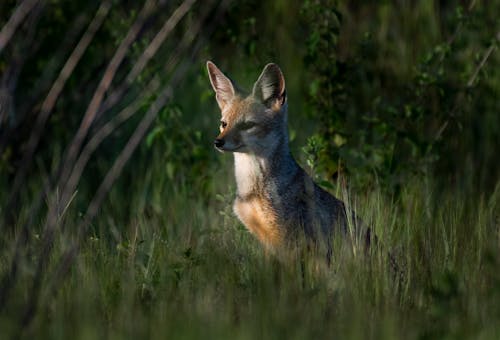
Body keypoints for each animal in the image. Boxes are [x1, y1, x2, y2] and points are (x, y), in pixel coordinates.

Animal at [205, 61, 366, 260]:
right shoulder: (267, 242)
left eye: (248, 125)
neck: (253, 188)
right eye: (224, 124)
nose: (218, 142)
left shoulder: (290, 242)